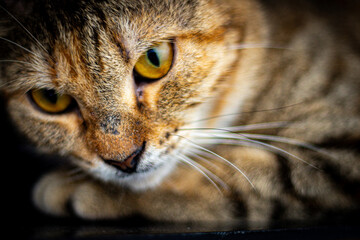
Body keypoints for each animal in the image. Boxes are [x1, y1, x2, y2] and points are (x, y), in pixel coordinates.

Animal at [0, 0, 360, 223]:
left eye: (154, 59)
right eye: (49, 98)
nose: (124, 160)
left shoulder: (342, 152)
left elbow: (244, 179)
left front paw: (78, 190)